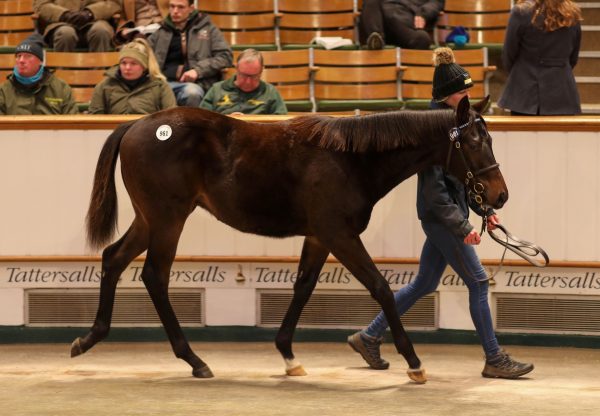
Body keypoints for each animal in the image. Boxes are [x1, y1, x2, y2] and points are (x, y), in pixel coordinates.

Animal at [74, 95, 506, 384]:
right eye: (473, 142)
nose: (499, 195)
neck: (350, 159)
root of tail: (137, 125)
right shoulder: (339, 234)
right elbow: (381, 287)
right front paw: (413, 362)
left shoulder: (318, 237)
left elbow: (303, 287)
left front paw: (287, 355)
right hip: (167, 219)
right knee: (154, 276)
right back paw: (193, 359)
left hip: (150, 219)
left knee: (114, 258)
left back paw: (89, 338)